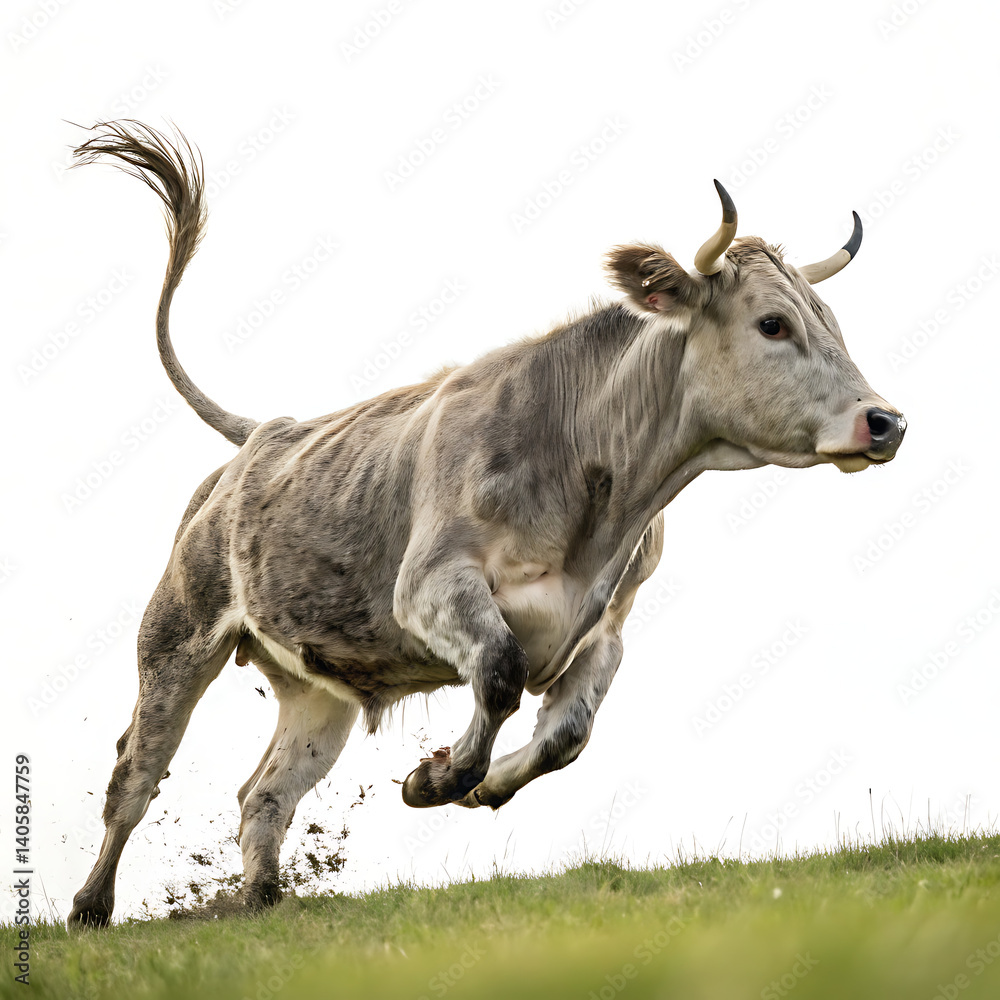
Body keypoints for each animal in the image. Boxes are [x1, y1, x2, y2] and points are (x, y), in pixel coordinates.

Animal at [67, 120, 905, 926]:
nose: (885, 421)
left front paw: (475, 785)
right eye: (773, 324)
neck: (588, 470)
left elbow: (567, 736)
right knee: (135, 776)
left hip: (315, 688)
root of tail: (266, 433)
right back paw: (91, 906)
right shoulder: (432, 585)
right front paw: (433, 778)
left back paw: (262, 897)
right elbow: (500, 673)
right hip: (177, 637)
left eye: (828, 321)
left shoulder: (604, 629)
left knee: (265, 794)